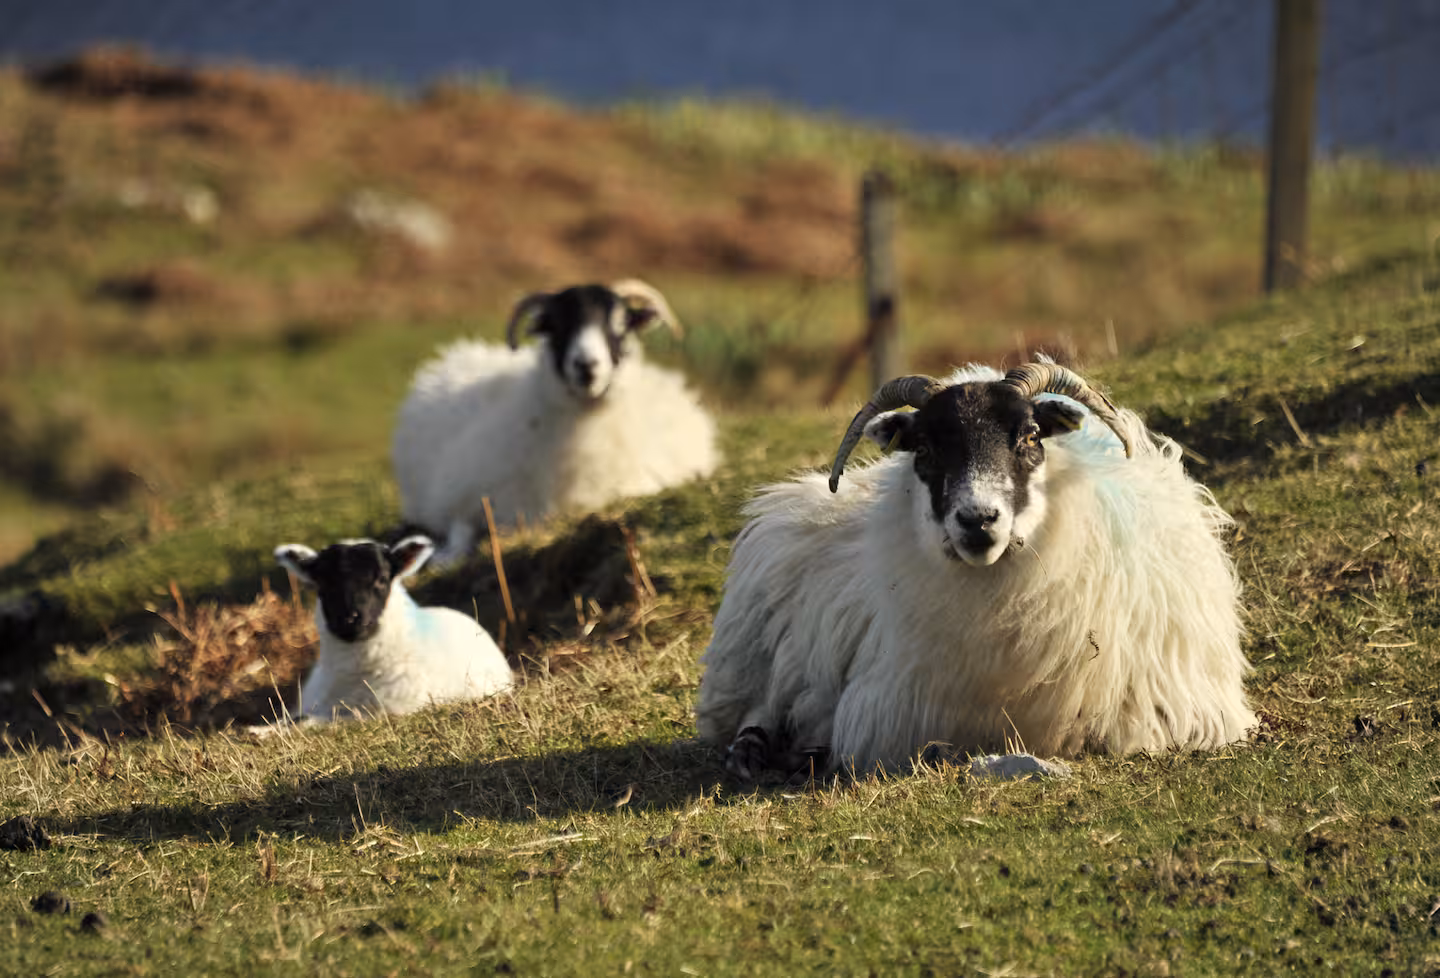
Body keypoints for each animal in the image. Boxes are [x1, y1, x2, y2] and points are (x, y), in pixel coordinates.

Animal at [392, 279, 719, 564]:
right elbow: (460, 527)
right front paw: (443, 556)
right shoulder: (461, 490)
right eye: (557, 325)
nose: (586, 365)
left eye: (620, 324)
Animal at [695, 361, 1254, 779]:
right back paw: (756, 751)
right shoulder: (888, 716)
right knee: (758, 708)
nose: (978, 519)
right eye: (924, 448)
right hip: (755, 653)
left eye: (1030, 436)